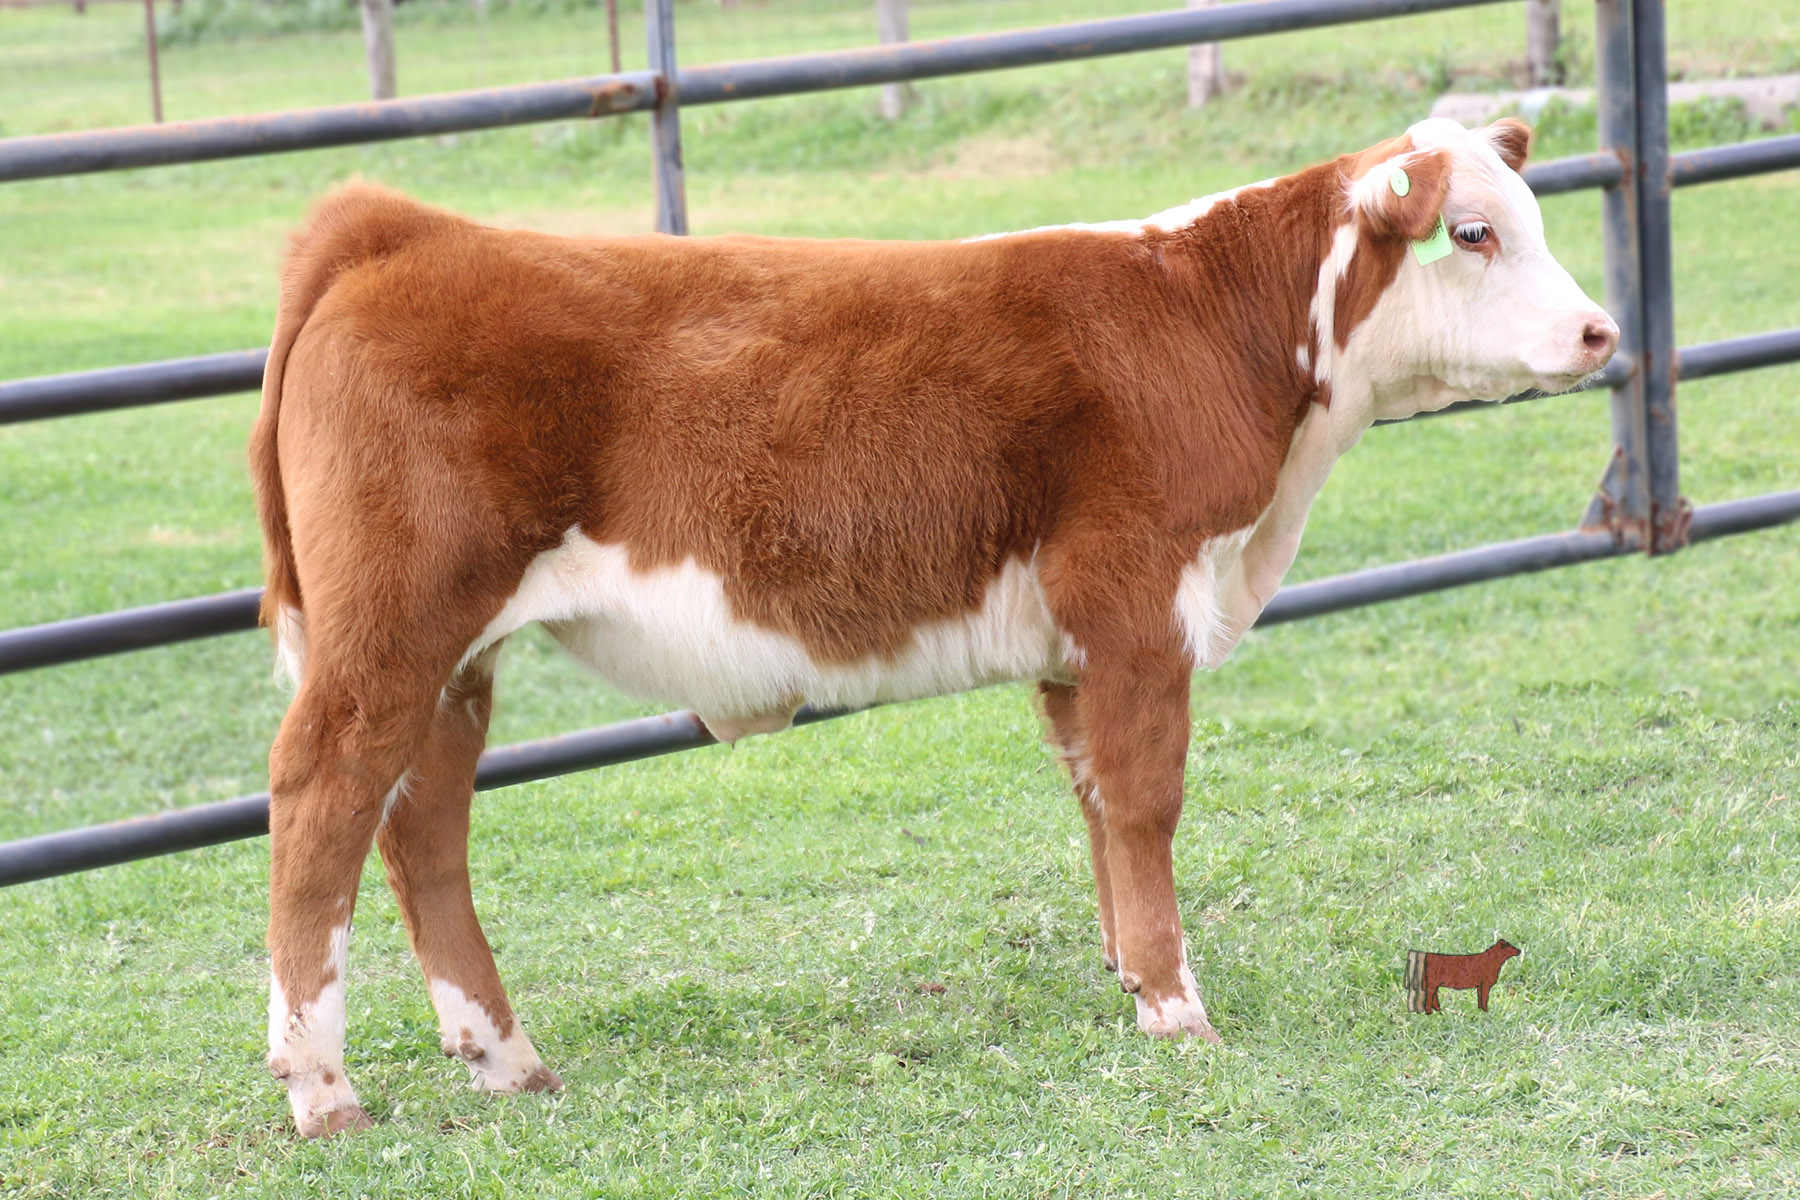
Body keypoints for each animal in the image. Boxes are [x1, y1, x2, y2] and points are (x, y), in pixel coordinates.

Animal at [250, 116, 1616, 1136]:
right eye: (1474, 231)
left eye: (1533, 216)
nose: (1600, 330)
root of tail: (400, 232)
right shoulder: (1136, 601)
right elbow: (1145, 798)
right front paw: (1178, 1010)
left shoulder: (1076, 645)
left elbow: (1094, 801)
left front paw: (1128, 972)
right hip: (392, 634)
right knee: (322, 799)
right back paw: (323, 1087)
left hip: (452, 658)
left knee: (422, 824)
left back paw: (505, 1057)